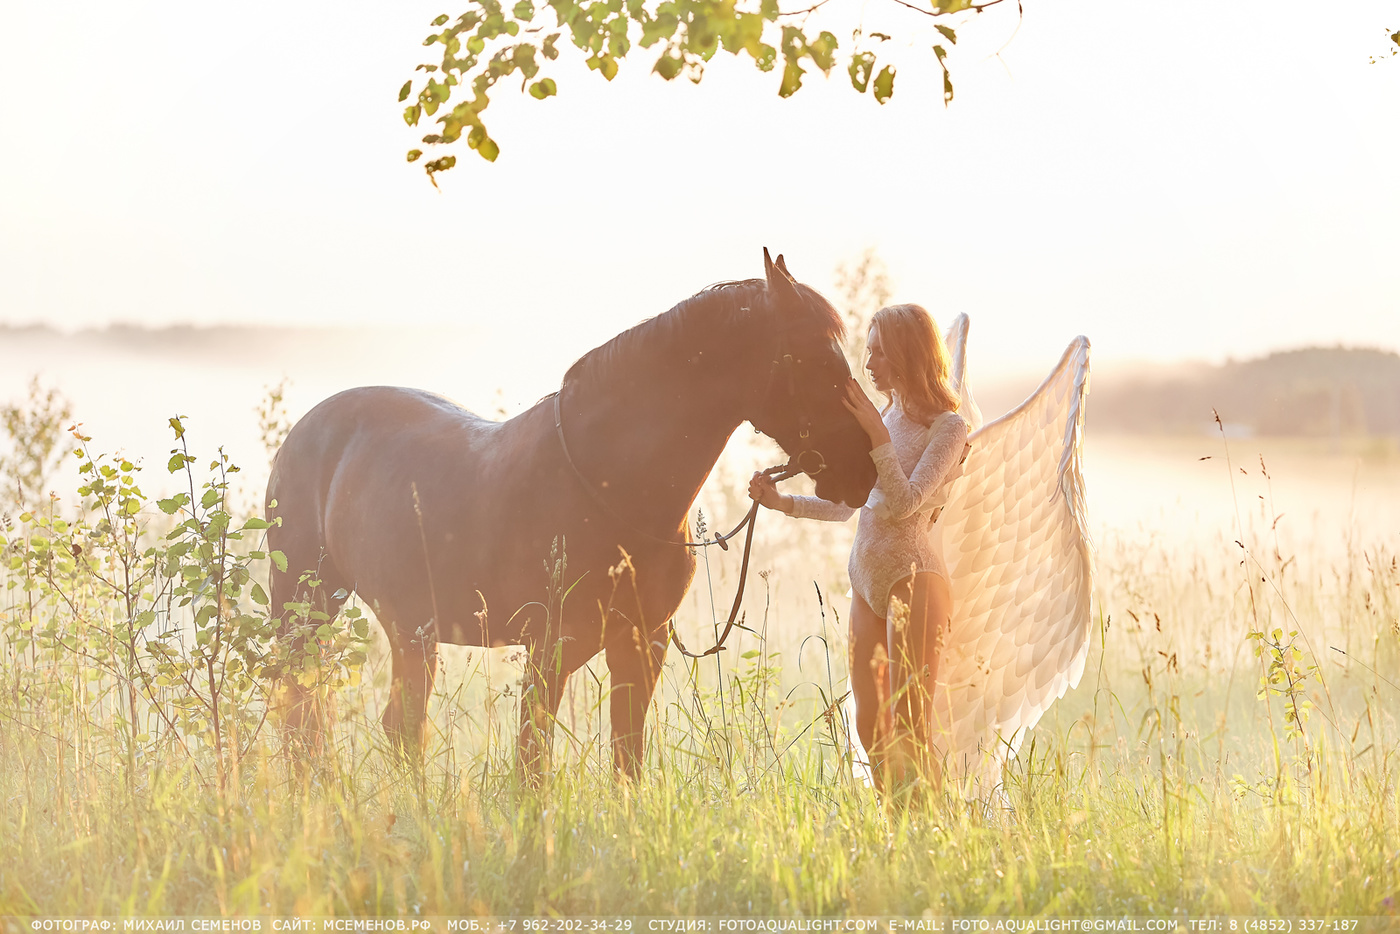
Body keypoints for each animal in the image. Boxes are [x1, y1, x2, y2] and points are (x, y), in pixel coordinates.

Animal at [263, 250, 873, 784]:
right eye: (817, 360)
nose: (863, 470)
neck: (612, 485)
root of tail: (303, 433)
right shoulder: (550, 648)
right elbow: (533, 762)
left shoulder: (641, 644)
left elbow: (626, 759)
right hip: (308, 611)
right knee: (305, 713)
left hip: (410, 629)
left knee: (392, 726)